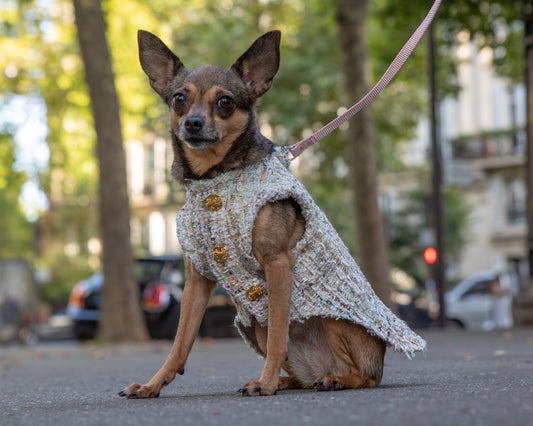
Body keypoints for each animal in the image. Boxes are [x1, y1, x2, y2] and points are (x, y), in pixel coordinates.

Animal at [119, 30, 424, 400]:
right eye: (178, 99)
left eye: (225, 102)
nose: (192, 123)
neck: (216, 177)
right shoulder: (197, 280)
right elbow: (179, 343)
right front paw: (152, 385)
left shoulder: (277, 264)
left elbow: (280, 334)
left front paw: (265, 384)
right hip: (254, 325)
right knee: (298, 375)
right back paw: (284, 380)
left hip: (334, 317)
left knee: (364, 376)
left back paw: (329, 380)